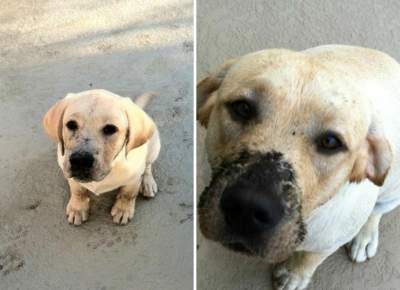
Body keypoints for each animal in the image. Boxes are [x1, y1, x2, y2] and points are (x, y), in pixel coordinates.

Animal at [44, 89, 161, 225]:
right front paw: (77, 208)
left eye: (110, 129)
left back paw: (147, 183)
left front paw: (123, 209)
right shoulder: (69, 172)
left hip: (154, 147)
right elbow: (78, 191)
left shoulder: (134, 178)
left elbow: (128, 194)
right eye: (71, 124)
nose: (80, 161)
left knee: (148, 166)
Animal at [198, 44, 400, 288]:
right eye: (243, 108)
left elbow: (310, 258)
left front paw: (295, 274)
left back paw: (365, 236)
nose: (247, 207)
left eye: (331, 142)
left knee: (376, 212)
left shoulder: (327, 242)